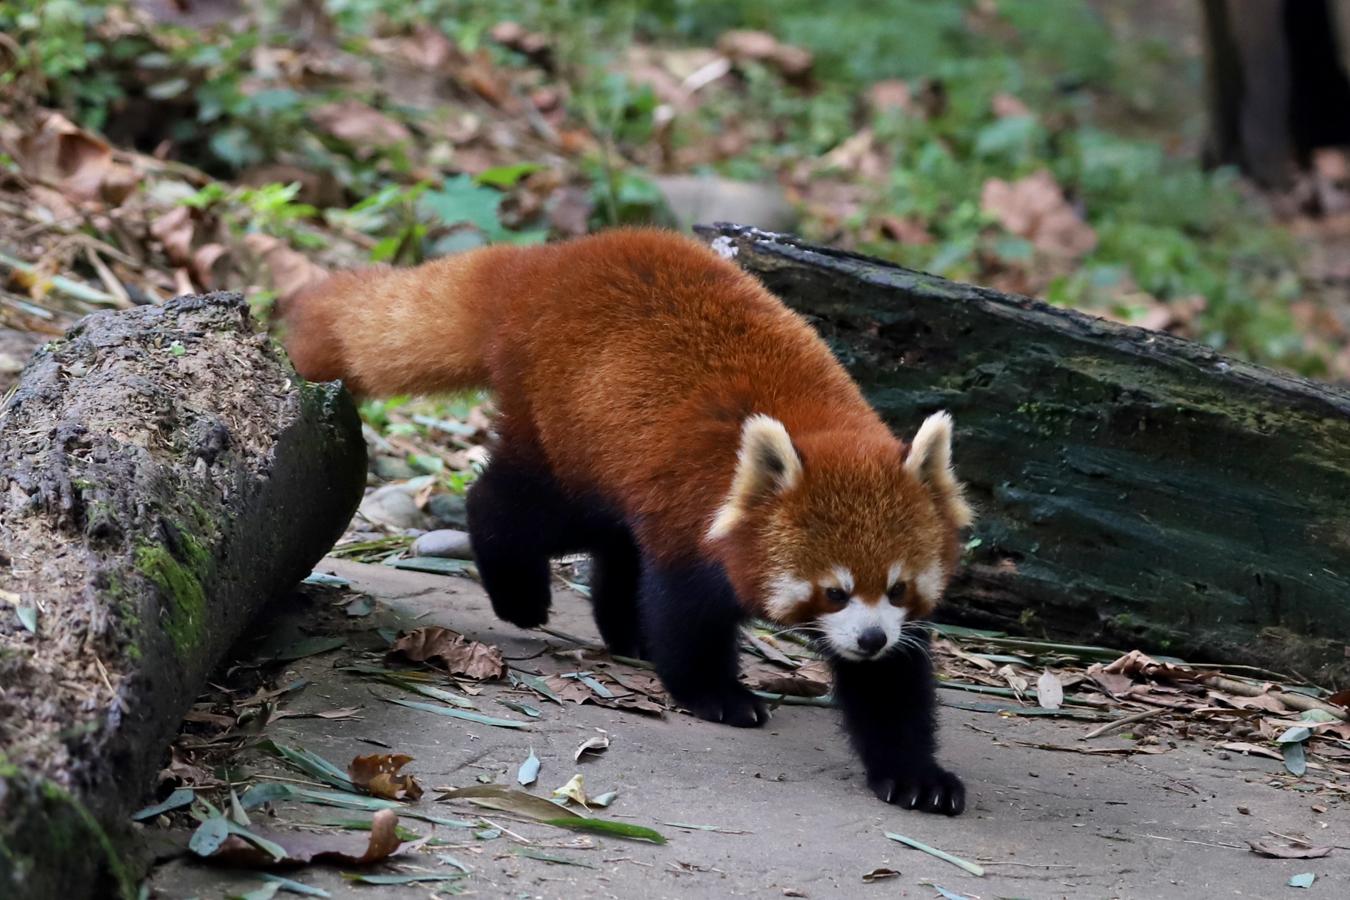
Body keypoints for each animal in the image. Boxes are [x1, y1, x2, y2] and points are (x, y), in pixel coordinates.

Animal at [282, 226, 972, 814]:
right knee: (520, 505)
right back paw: (519, 591)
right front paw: (718, 695)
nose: (871, 639)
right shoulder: (693, 521)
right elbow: (686, 618)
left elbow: (891, 689)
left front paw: (916, 775)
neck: (815, 431)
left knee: (614, 542)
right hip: (565, 424)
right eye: (833, 591)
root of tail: (546, 263)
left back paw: (624, 631)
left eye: (897, 588)